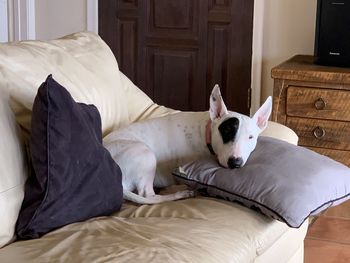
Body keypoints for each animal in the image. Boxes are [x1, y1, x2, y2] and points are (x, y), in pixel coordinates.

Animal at [104, 85, 274, 205]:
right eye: (227, 132)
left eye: (250, 137)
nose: (235, 162)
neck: (206, 133)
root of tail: (118, 184)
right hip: (144, 152)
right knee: (149, 196)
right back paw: (181, 192)